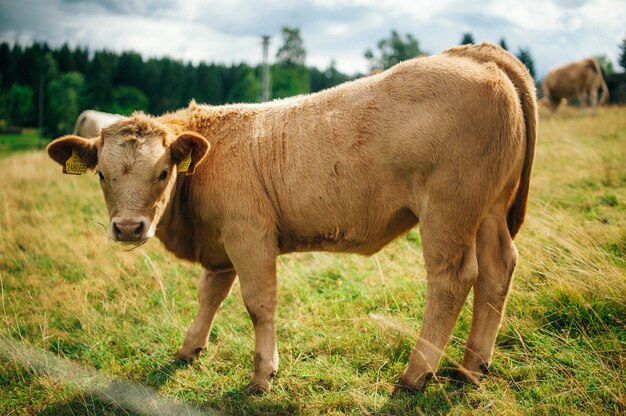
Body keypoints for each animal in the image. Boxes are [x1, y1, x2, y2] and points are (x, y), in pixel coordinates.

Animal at [46, 44, 532, 394]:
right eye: (102, 175)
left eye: (163, 172)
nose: (129, 228)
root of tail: (474, 53)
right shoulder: (221, 244)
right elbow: (210, 295)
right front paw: (189, 348)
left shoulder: (248, 233)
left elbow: (258, 304)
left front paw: (263, 375)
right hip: (490, 211)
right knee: (498, 270)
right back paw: (472, 368)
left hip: (449, 211)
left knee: (452, 279)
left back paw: (416, 374)